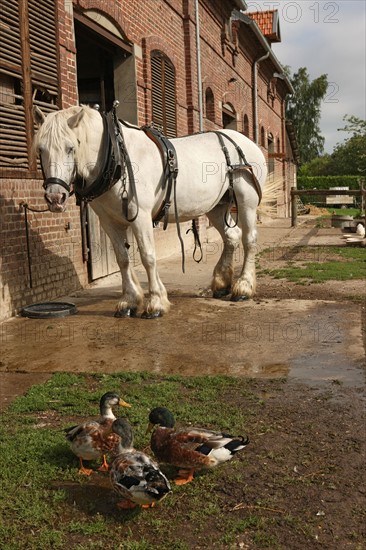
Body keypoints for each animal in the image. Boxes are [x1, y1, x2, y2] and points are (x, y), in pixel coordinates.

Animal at [33, 105, 268, 320]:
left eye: (70, 148)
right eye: (40, 149)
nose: (55, 198)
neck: (116, 159)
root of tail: (248, 143)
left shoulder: (140, 217)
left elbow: (148, 257)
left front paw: (156, 302)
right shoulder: (109, 221)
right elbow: (122, 259)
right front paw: (129, 301)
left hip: (246, 201)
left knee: (249, 239)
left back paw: (243, 287)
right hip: (216, 206)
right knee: (232, 236)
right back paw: (221, 283)